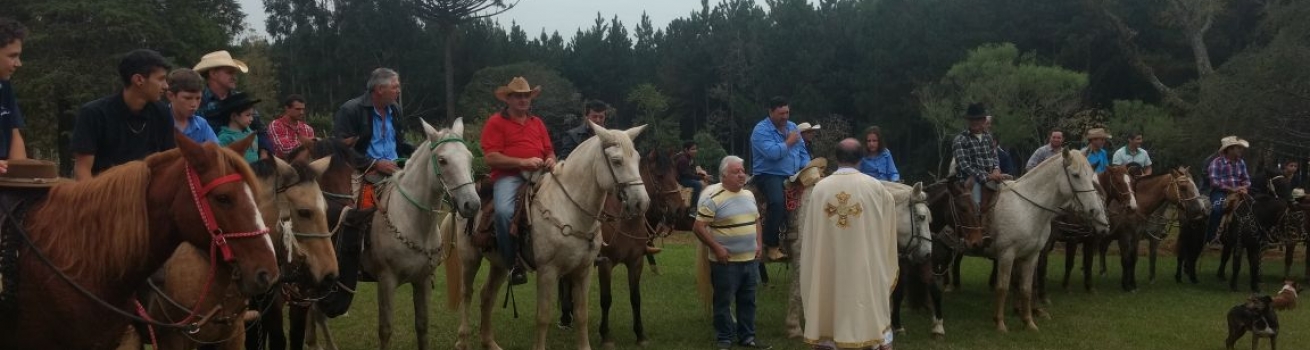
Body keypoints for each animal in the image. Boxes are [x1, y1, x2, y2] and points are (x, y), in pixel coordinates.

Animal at [358, 118, 482, 350]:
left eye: (469, 157)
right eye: (442, 160)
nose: (472, 205)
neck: (412, 222)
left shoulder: (422, 281)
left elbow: (422, 327)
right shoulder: (386, 281)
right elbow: (385, 330)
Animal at [448, 122, 647, 350]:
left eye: (638, 159)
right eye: (616, 161)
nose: (642, 203)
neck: (569, 209)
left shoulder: (584, 270)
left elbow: (582, 315)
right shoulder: (548, 271)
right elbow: (543, 317)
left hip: (500, 263)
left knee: (487, 295)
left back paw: (489, 342)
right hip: (470, 258)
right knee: (467, 294)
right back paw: (462, 340)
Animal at [555, 149, 686, 348]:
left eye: (676, 175)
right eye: (660, 175)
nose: (679, 210)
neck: (624, 221)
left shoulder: (636, 262)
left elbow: (636, 298)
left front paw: (640, 334)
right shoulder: (605, 264)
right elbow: (606, 299)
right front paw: (606, 336)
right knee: (564, 281)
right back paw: (565, 317)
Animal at [974, 149, 1105, 332]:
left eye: (1091, 174)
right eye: (1075, 175)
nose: (1094, 210)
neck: (1025, 208)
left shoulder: (1031, 255)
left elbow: (1026, 288)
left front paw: (1029, 321)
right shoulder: (1007, 254)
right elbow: (1002, 287)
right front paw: (1000, 323)